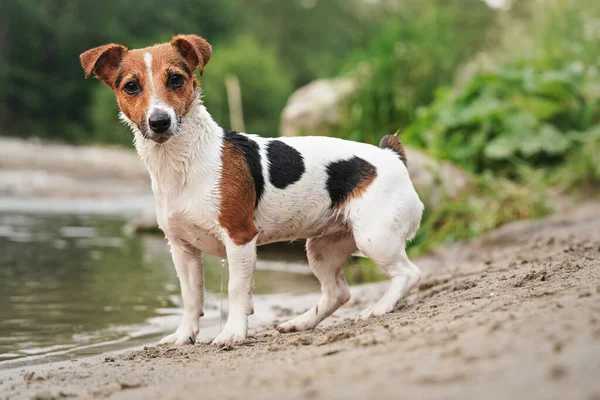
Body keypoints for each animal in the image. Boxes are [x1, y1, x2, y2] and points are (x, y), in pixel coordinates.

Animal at [79, 35, 424, 346]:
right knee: (338, 292)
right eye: (131, 86)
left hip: (374, 237)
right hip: (322, 248)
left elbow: (236, 290)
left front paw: (233, 333)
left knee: (408, 273)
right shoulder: (182, 248)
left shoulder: (240, 237)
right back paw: (301, 322)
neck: (183, 162)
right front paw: (183, 335)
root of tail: (390, 155)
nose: (160, 121)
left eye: (176, 79)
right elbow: (190, 297)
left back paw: (379, 308)